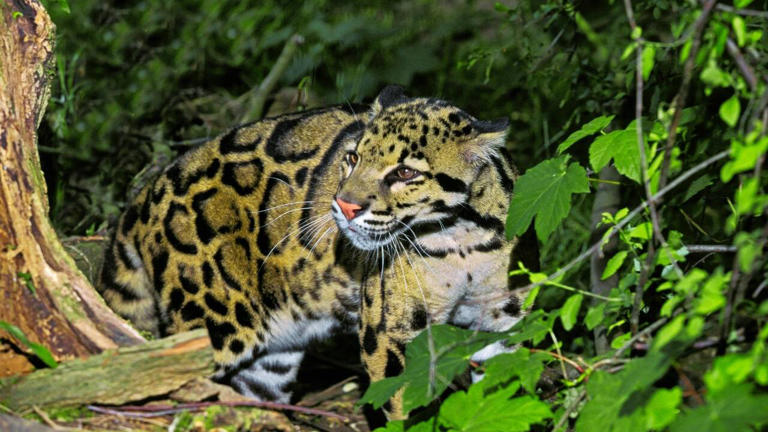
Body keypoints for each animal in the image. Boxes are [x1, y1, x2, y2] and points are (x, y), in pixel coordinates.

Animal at [98, 85, 538, 419]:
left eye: (405, 173)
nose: (343, 205)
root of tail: (145, 195)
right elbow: (402, 405)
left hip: (268, 361)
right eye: (353, 157)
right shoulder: (390, 333)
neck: (461, 240)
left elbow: (507, 384)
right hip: (210, 322)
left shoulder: (503, 320)